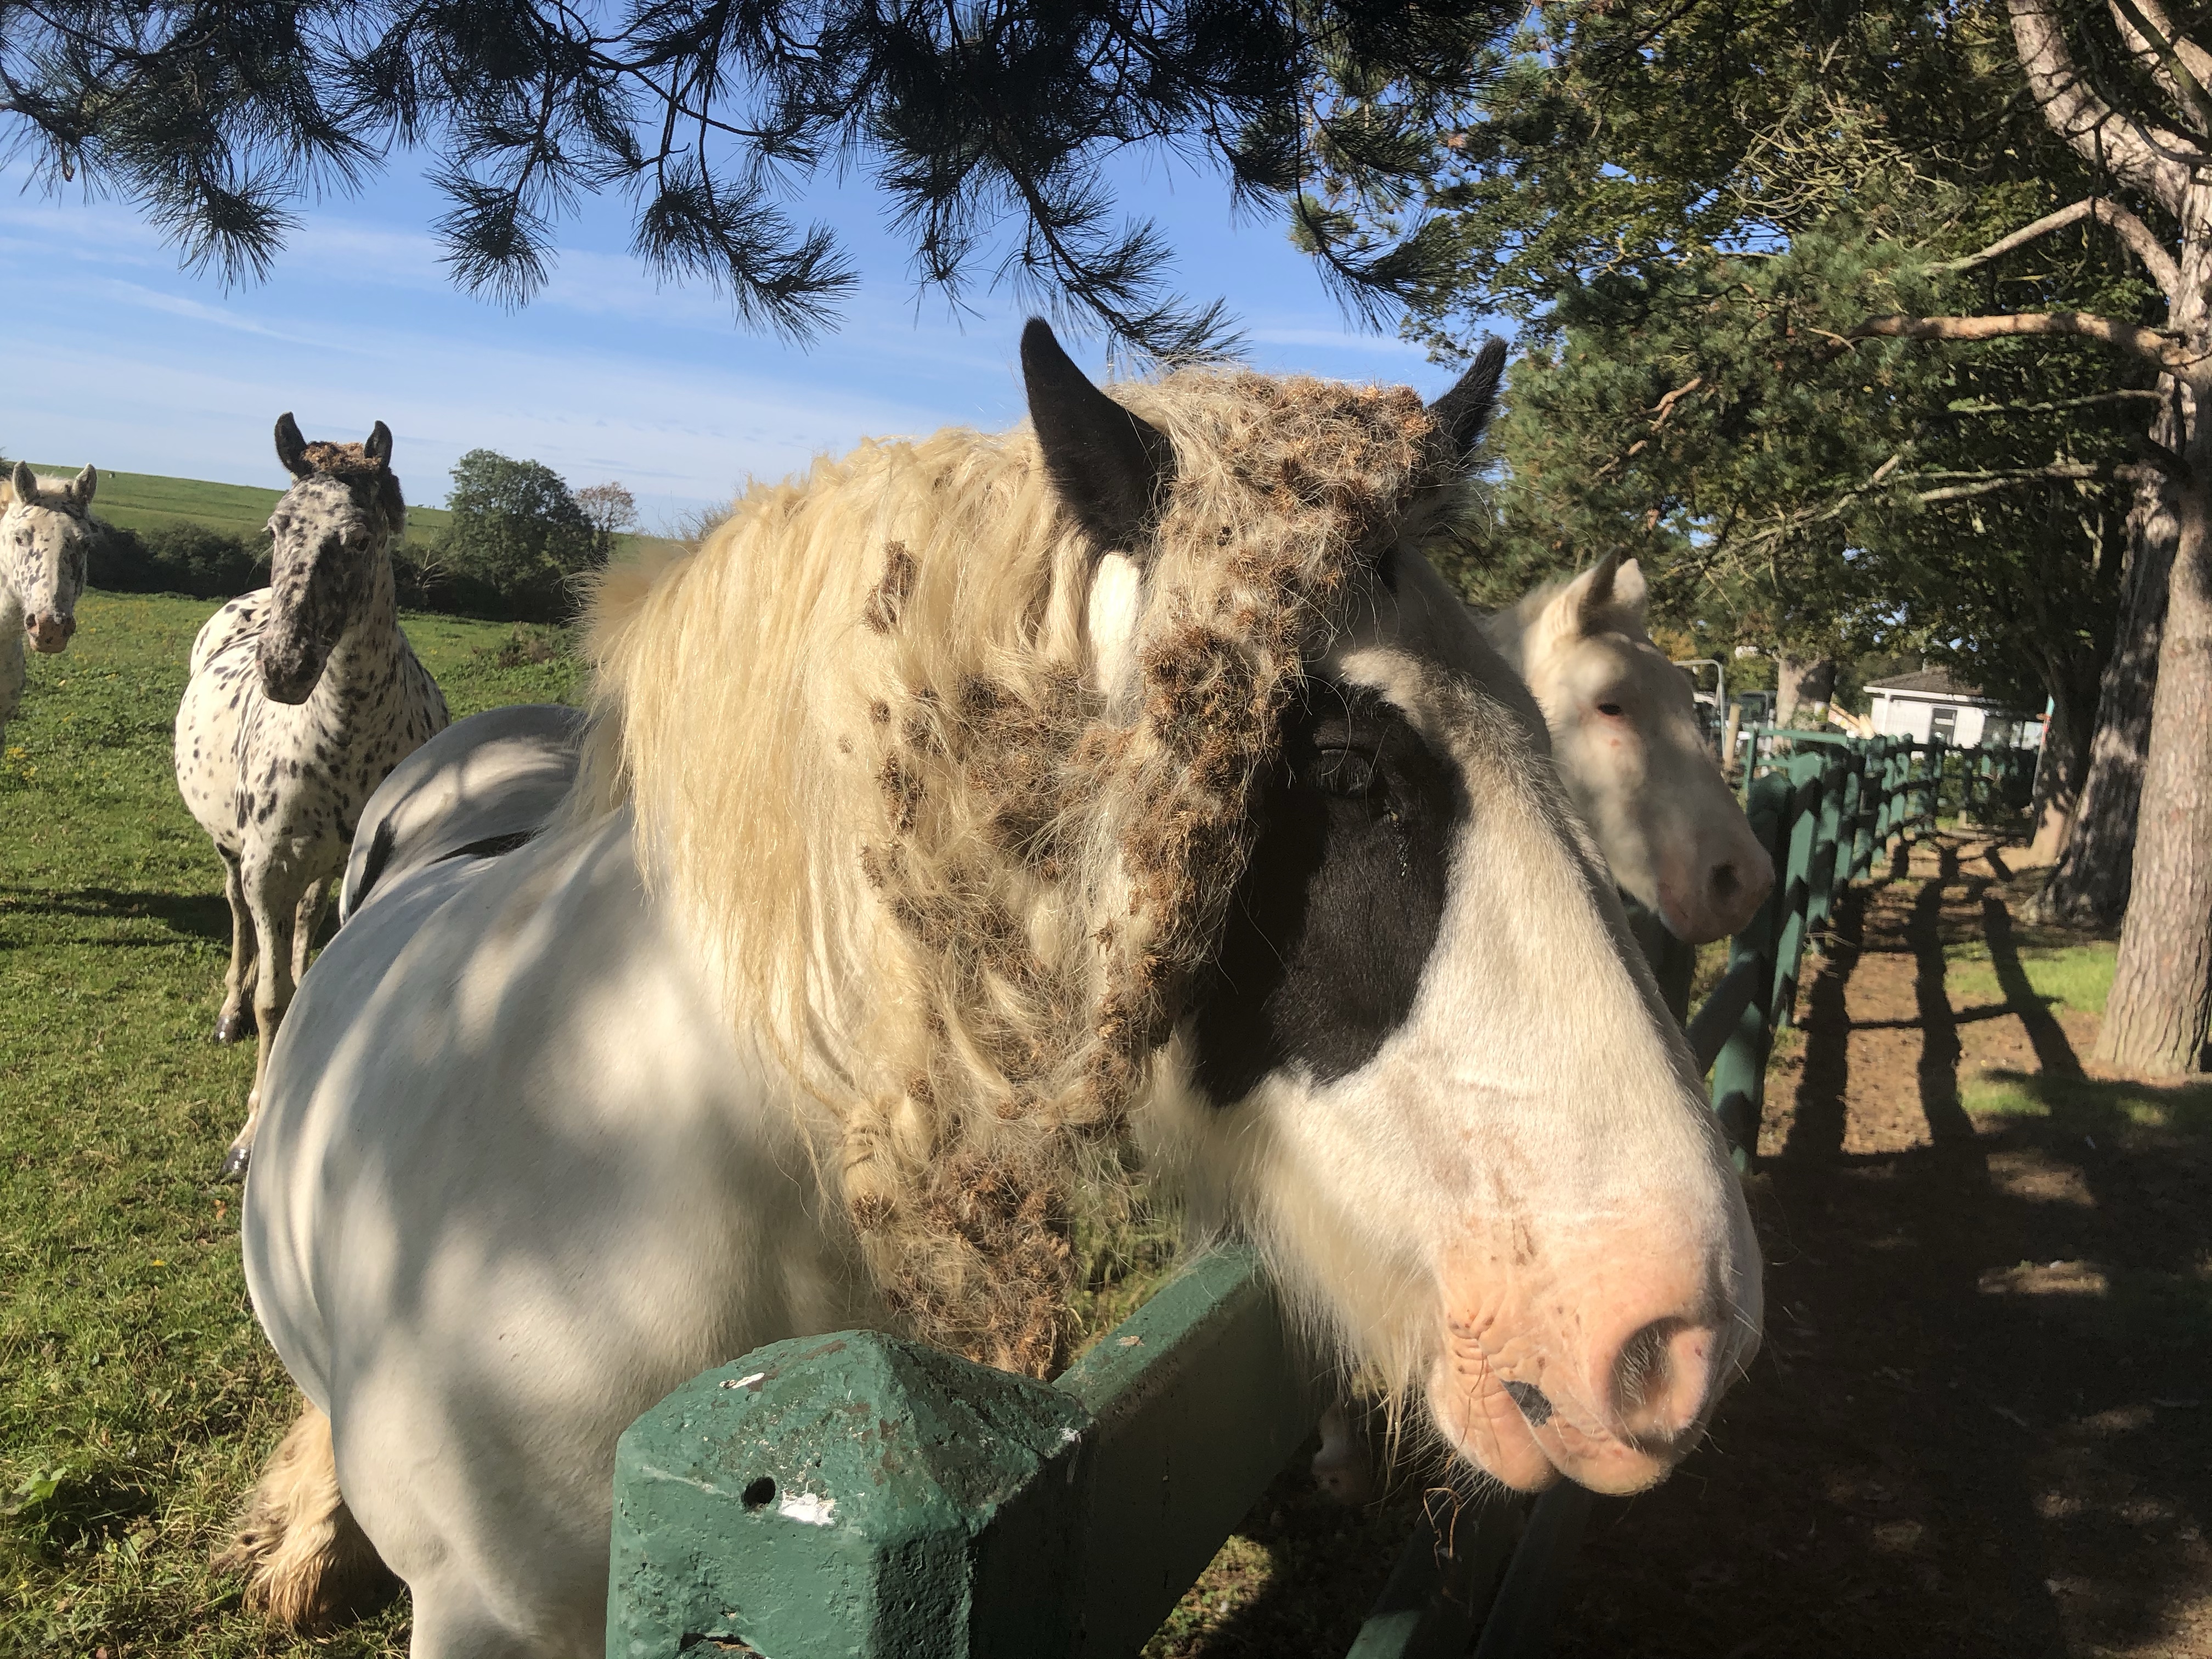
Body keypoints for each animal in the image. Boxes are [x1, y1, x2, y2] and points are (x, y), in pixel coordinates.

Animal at [173, 415, 449, 1180]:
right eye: (276, 528)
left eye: (358, 538)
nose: (284, 668)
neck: (344, 736)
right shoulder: (267, 868)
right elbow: (274, 998)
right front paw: (250, 1137)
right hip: (233, 853)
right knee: (240, 919)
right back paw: (229, 1011)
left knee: (303, 925)